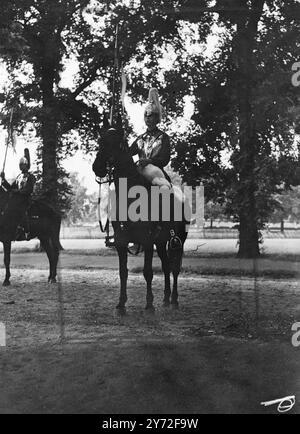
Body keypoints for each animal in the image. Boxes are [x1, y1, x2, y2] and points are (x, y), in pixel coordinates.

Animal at [92, 119, 191, 312]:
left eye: (116, 143)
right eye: (101, 141)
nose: (97, 167)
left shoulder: (147, 240)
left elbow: (148, 272)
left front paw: (149, 303)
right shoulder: (121, 241)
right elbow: (123, 272)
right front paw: (121, 303)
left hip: (178, 241)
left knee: (174, 268)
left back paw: (174, 300)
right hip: (160, 242)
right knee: (166, 266)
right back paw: (166, 299)